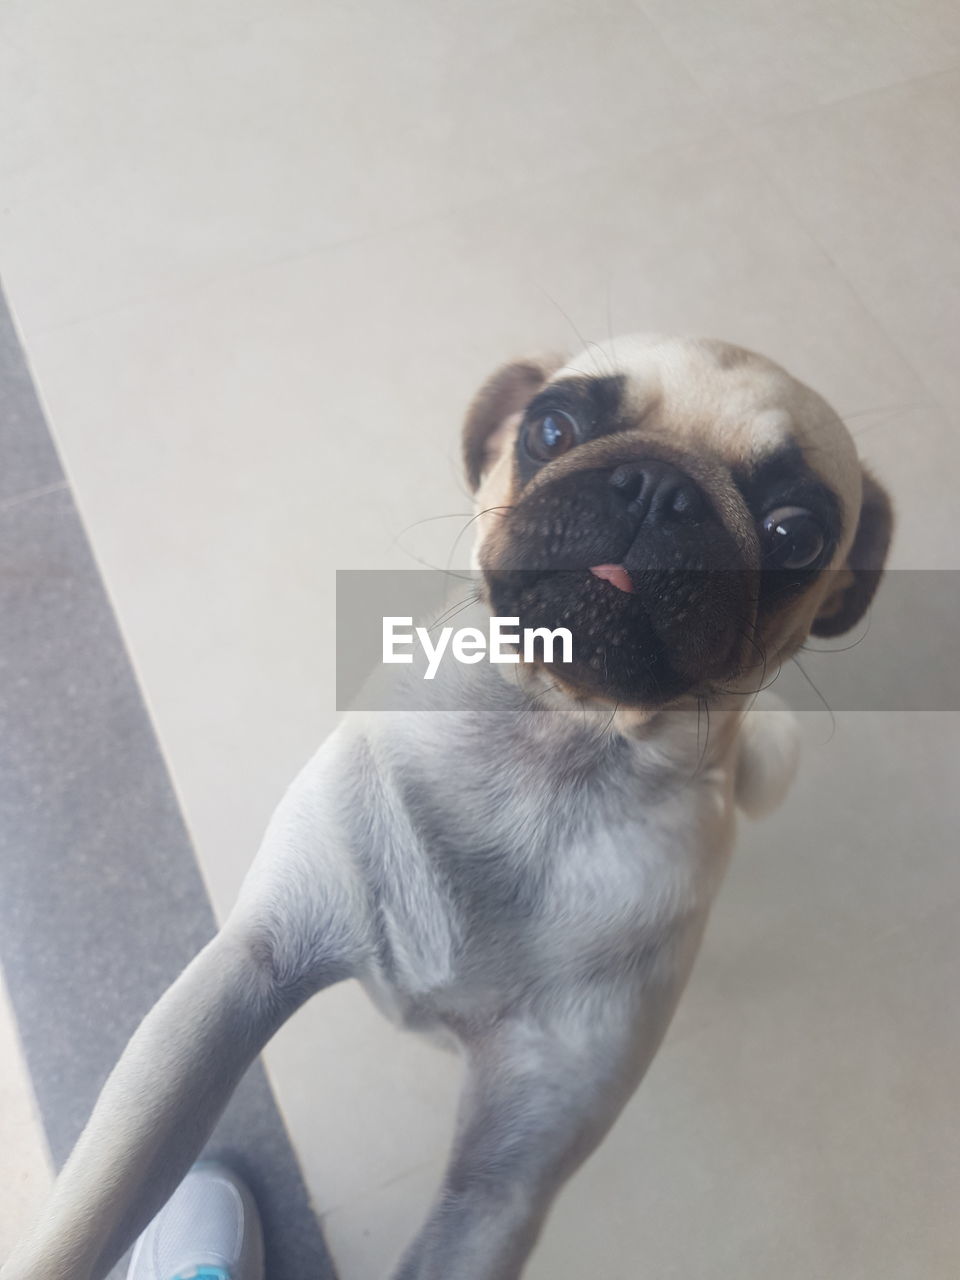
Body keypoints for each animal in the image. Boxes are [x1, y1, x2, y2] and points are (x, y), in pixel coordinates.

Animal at [3, 335, 901, 1274]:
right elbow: (90, 1215)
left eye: (796, 533)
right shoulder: (230, 992)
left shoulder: (501, 1185)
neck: (554, 744)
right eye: (552, 429)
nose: (659, 487)